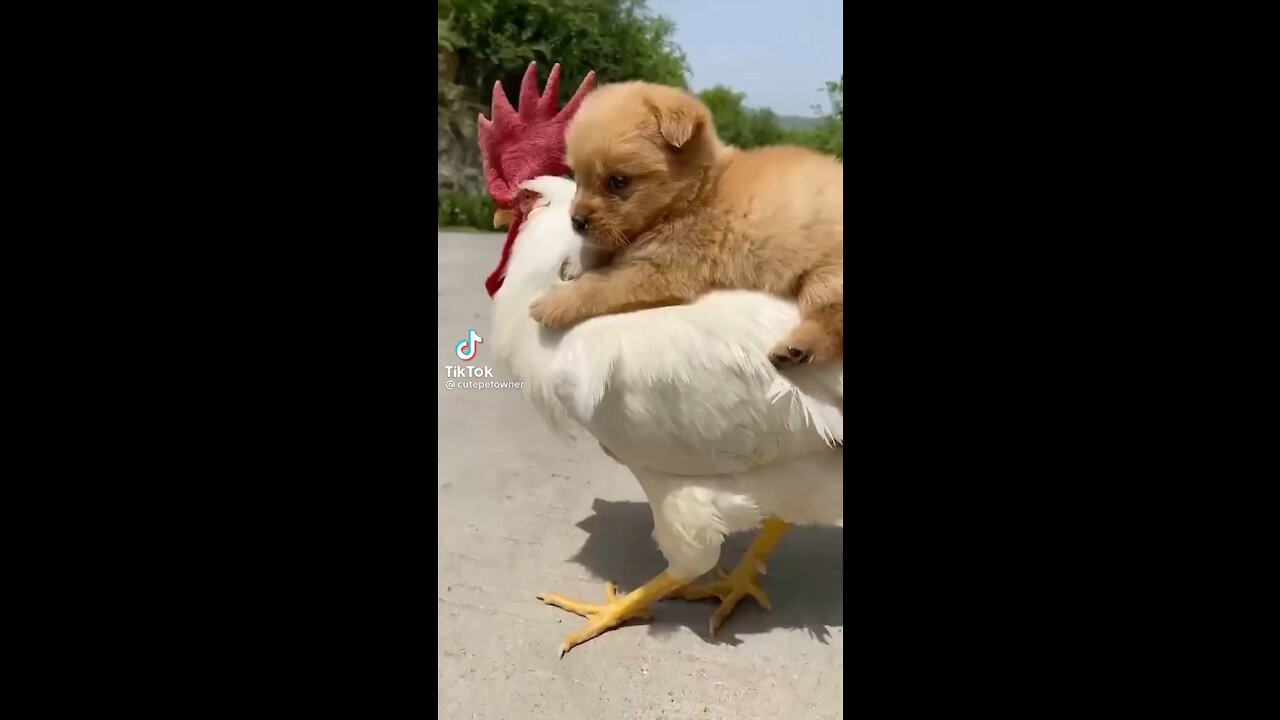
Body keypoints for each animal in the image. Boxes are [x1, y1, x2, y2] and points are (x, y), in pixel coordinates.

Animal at [524, 81, 844, 366]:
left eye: (618, 181)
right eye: (577, 177)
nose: (576, 221)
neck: (697, 194)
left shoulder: (663, 270)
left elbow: (601, 284)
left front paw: (555, 303)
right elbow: (605, 247)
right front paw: (578, 259)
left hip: (829, 277)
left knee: (833, 321)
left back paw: (799, 347)